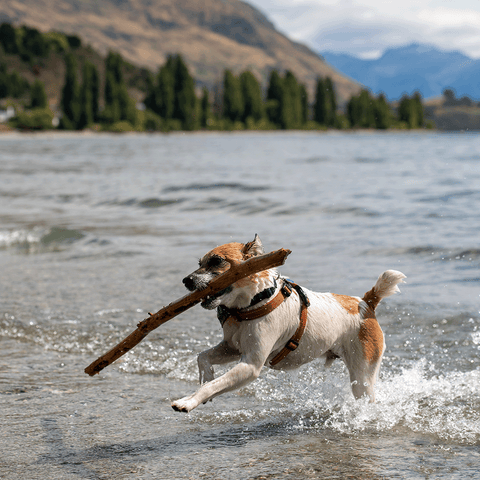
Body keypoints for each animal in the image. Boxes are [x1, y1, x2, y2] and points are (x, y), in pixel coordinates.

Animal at [172, 236, 404, 412]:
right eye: (200, 263)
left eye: (217, 261)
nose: (186, 280)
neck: (254, 302)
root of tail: (365, 303)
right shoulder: (232, 348)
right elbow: (202, 357)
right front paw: (205, 376)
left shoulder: (250, 365)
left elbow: (211, 386)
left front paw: (187, 402)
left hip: (363, 375)